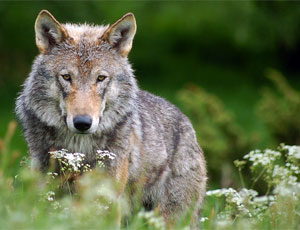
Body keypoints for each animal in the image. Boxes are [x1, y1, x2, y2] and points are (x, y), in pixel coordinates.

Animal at [15, 9, 206, 226]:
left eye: (100, 78)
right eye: (66, 77)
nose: (82, 123)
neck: (78, 150)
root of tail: (187, 123)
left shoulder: (108, 203)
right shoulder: (45, 195)